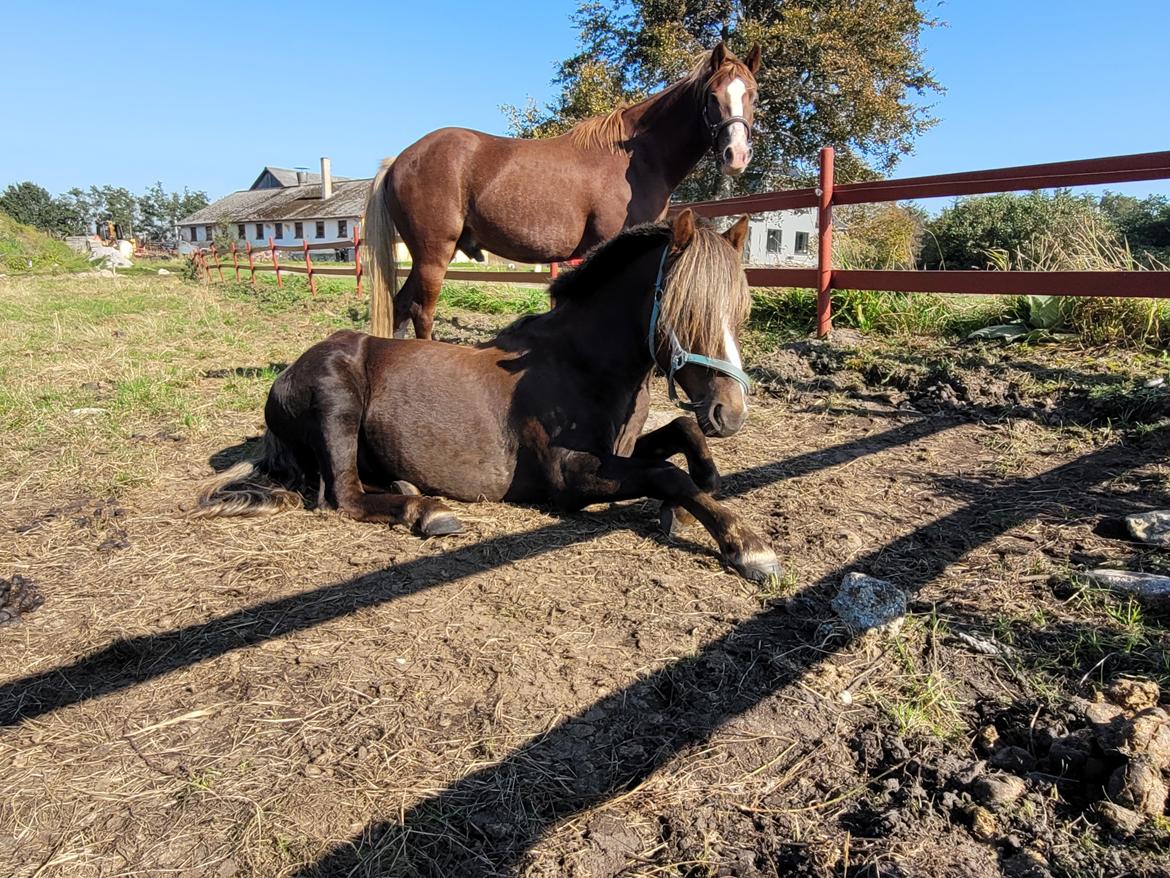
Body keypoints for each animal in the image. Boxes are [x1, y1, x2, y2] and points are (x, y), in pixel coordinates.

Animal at [196, 210, 781, 585]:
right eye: (689, 311)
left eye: (740, 311)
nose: (730, 413)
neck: (581, 363)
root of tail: (287, 375)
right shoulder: (568, 479)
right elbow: (669, 473)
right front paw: (746, 546)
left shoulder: (620, 448)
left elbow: (682, 438)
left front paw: (690, 502)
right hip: (337, 405)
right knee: (342, 496)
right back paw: (427, 511)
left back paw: (412, 490)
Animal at [367, 43, 767, 339]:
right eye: (713, 95)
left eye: (753, 95)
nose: (736, 154)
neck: (636, 157)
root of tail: (399, 160)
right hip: (434, 255)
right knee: (421, 312)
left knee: (400, 306)